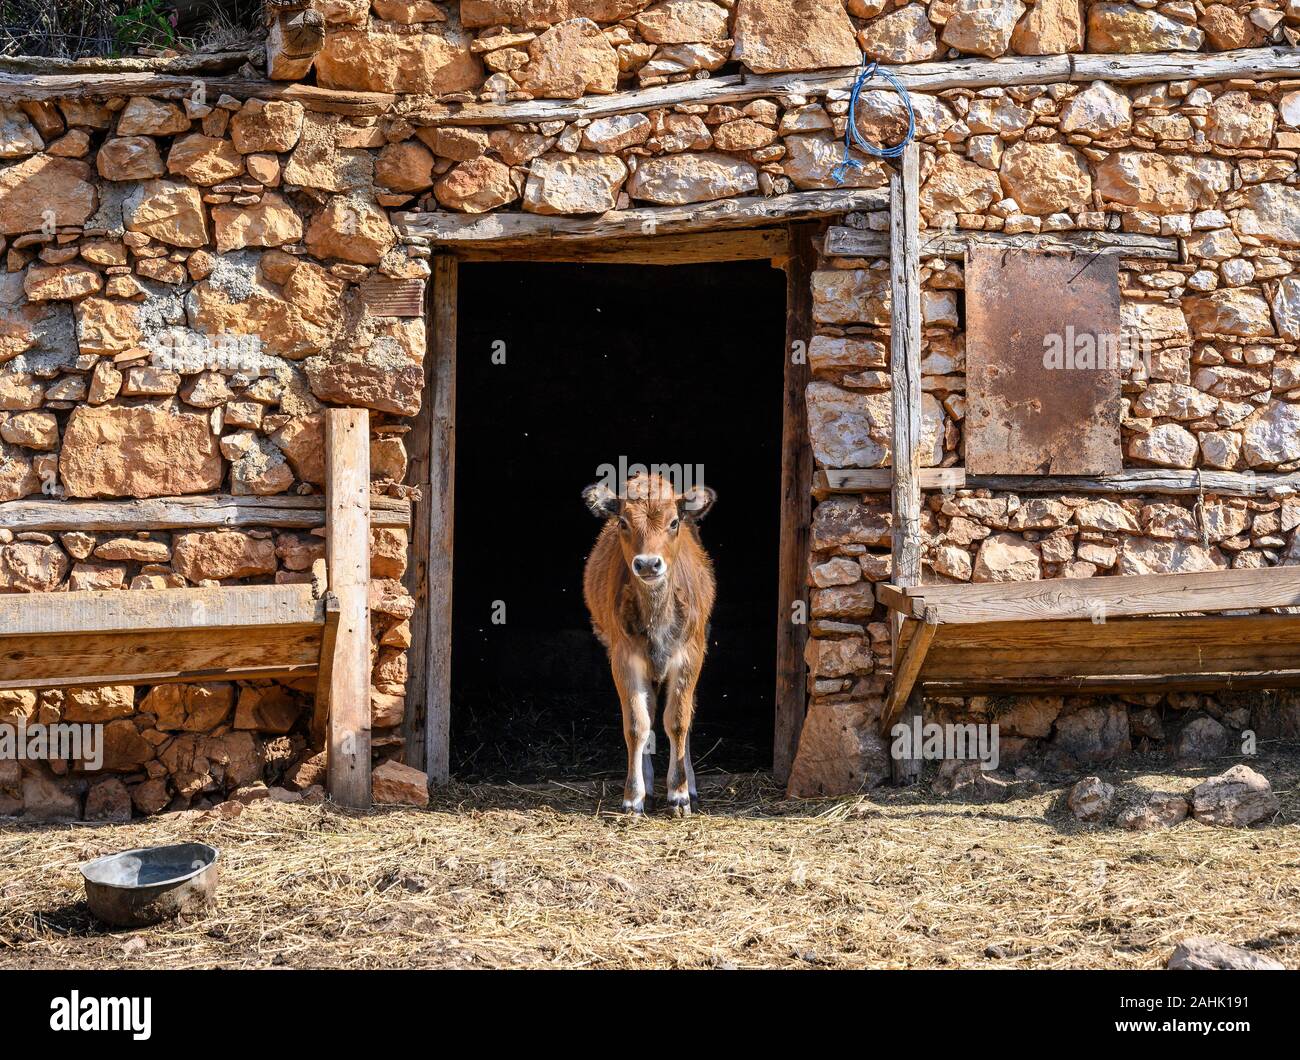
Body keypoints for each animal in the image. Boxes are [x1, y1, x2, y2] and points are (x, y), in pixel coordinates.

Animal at [585, 476, 717, 816]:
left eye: (673, 522)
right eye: (623, 522)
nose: (647, 564)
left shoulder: (690, 655)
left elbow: (679, 721)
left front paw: (680, 794)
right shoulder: (624, 658)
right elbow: (636, 724)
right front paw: (634, 797)